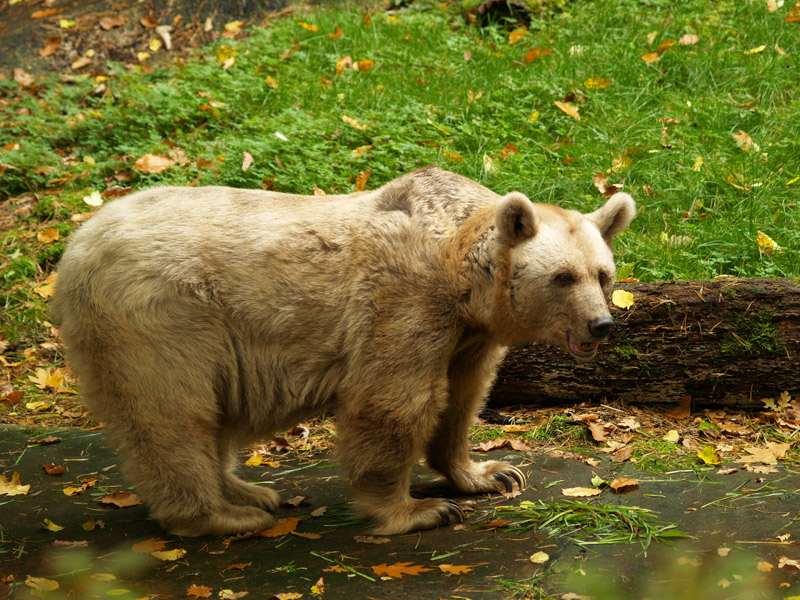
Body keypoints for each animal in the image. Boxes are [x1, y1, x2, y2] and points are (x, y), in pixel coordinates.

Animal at [50, 166, 635, 537]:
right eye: (563, 277)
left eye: (603, 273)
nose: (601, 324)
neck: (460, 272)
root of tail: (74, 246)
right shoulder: (403, 302)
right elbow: (394, 402)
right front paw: (419, 510)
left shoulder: (468, 336)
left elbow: (462, 397)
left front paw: (491, 474)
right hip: (160, 316)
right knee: (171, 414)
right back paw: (222, 516)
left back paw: (248, 492)